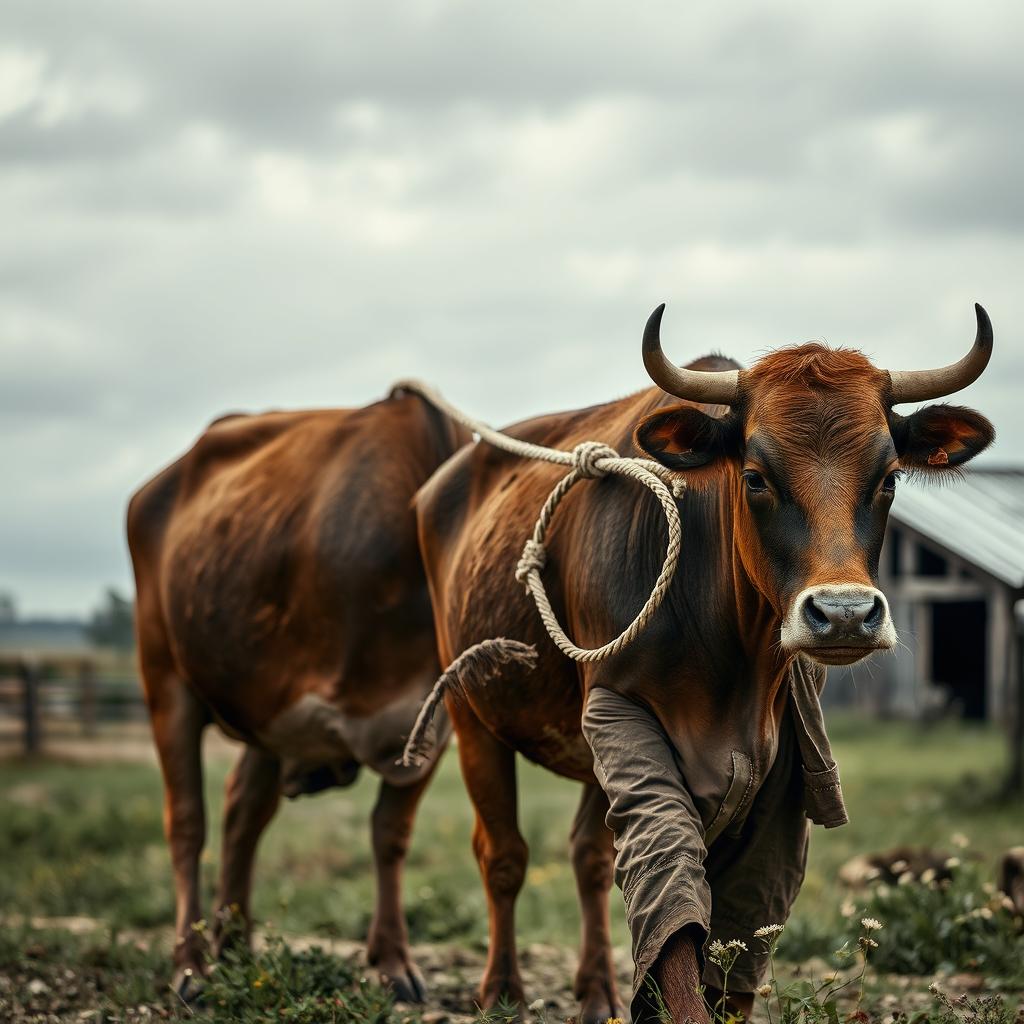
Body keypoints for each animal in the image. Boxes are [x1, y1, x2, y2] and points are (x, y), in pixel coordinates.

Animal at [126, 389, 468, 1001]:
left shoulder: (429, 726)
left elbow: (390, 833)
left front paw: (392, 960)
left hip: (263, 708)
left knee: (242, 811)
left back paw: (234, 943)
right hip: (164, 675)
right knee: (187, 820)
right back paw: (190, 963)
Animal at [415, 305, 995, 1023]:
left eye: (888, 478)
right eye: (755, 476)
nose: (843, 614)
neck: (730, 647)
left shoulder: (781, 763)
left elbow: (742, 919)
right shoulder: (626, 723)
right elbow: (669, 886)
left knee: (588, 857)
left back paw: (597, 990)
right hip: (473, 710)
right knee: (503, 855)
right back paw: (499, 989)